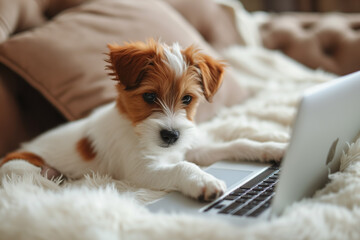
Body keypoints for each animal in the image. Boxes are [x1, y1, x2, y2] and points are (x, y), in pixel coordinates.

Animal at [0, 40, 228, 202]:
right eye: (149, 96)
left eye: (187, 99)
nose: (171, 136)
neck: (135, 129)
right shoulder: (141, 171)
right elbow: (182, 166)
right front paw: (204, 180)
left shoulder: (188, 149)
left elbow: (220, 147)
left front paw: (239, 149)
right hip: (21, 169)